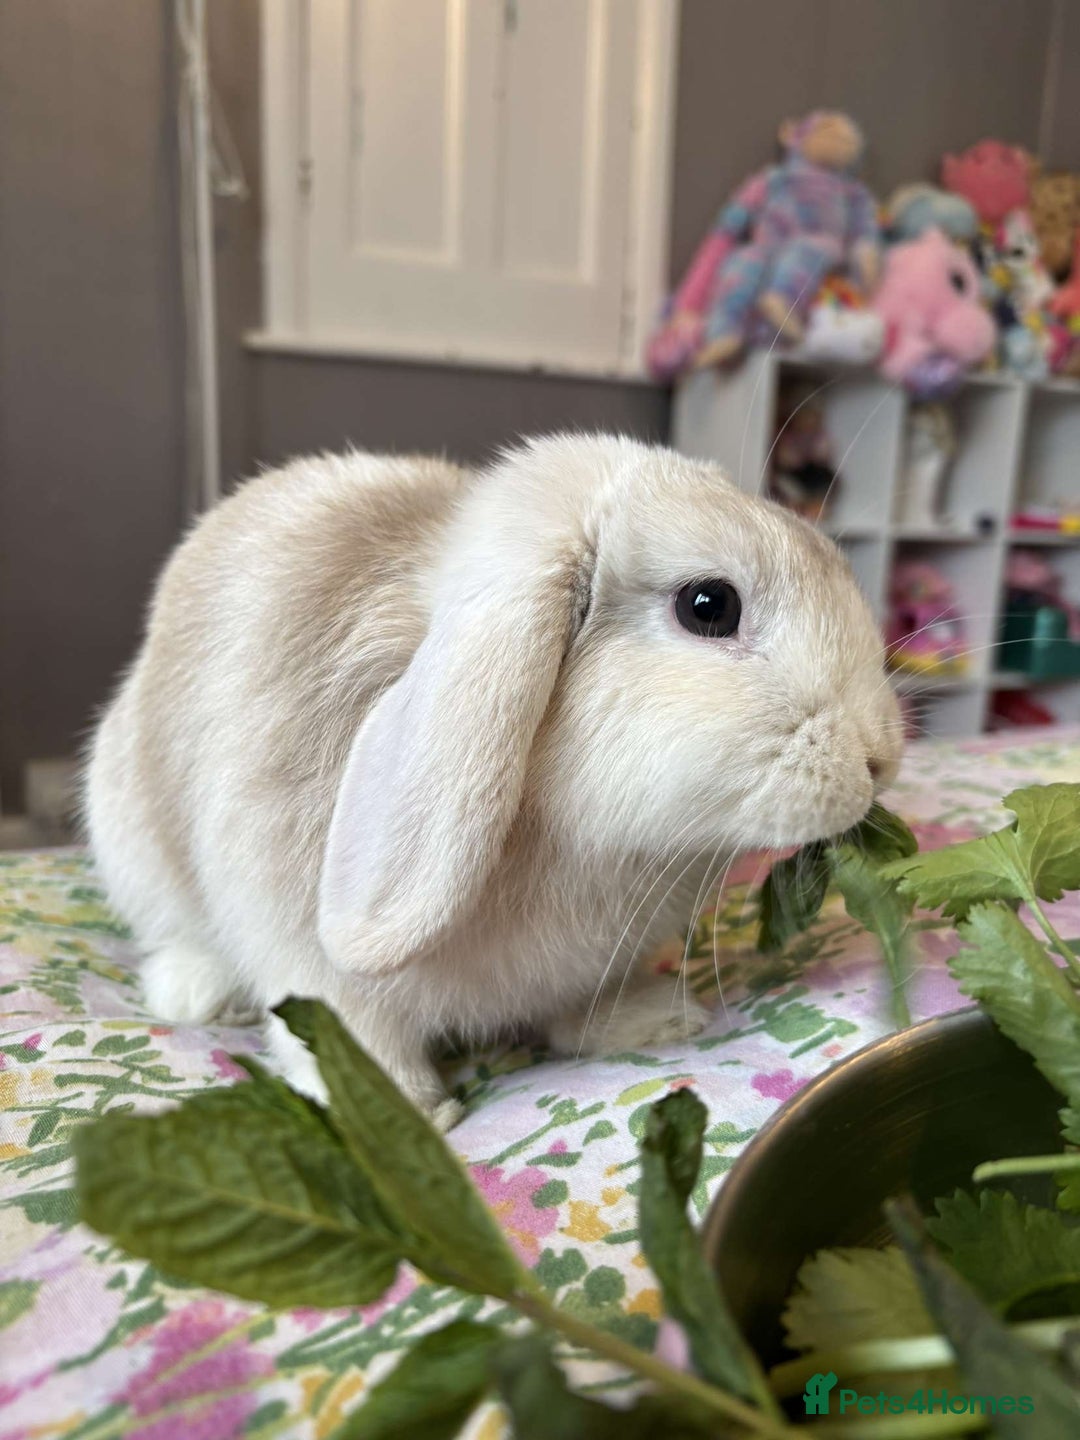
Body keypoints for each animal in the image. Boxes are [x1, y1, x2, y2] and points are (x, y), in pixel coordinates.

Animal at [84, 434, 902, 1129]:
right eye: (709, 605)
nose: (881, 759)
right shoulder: (306, 959)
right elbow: (349, 1035)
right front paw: (407, 1114)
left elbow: (579, 1016)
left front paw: (657, 1020)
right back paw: (197, 989)